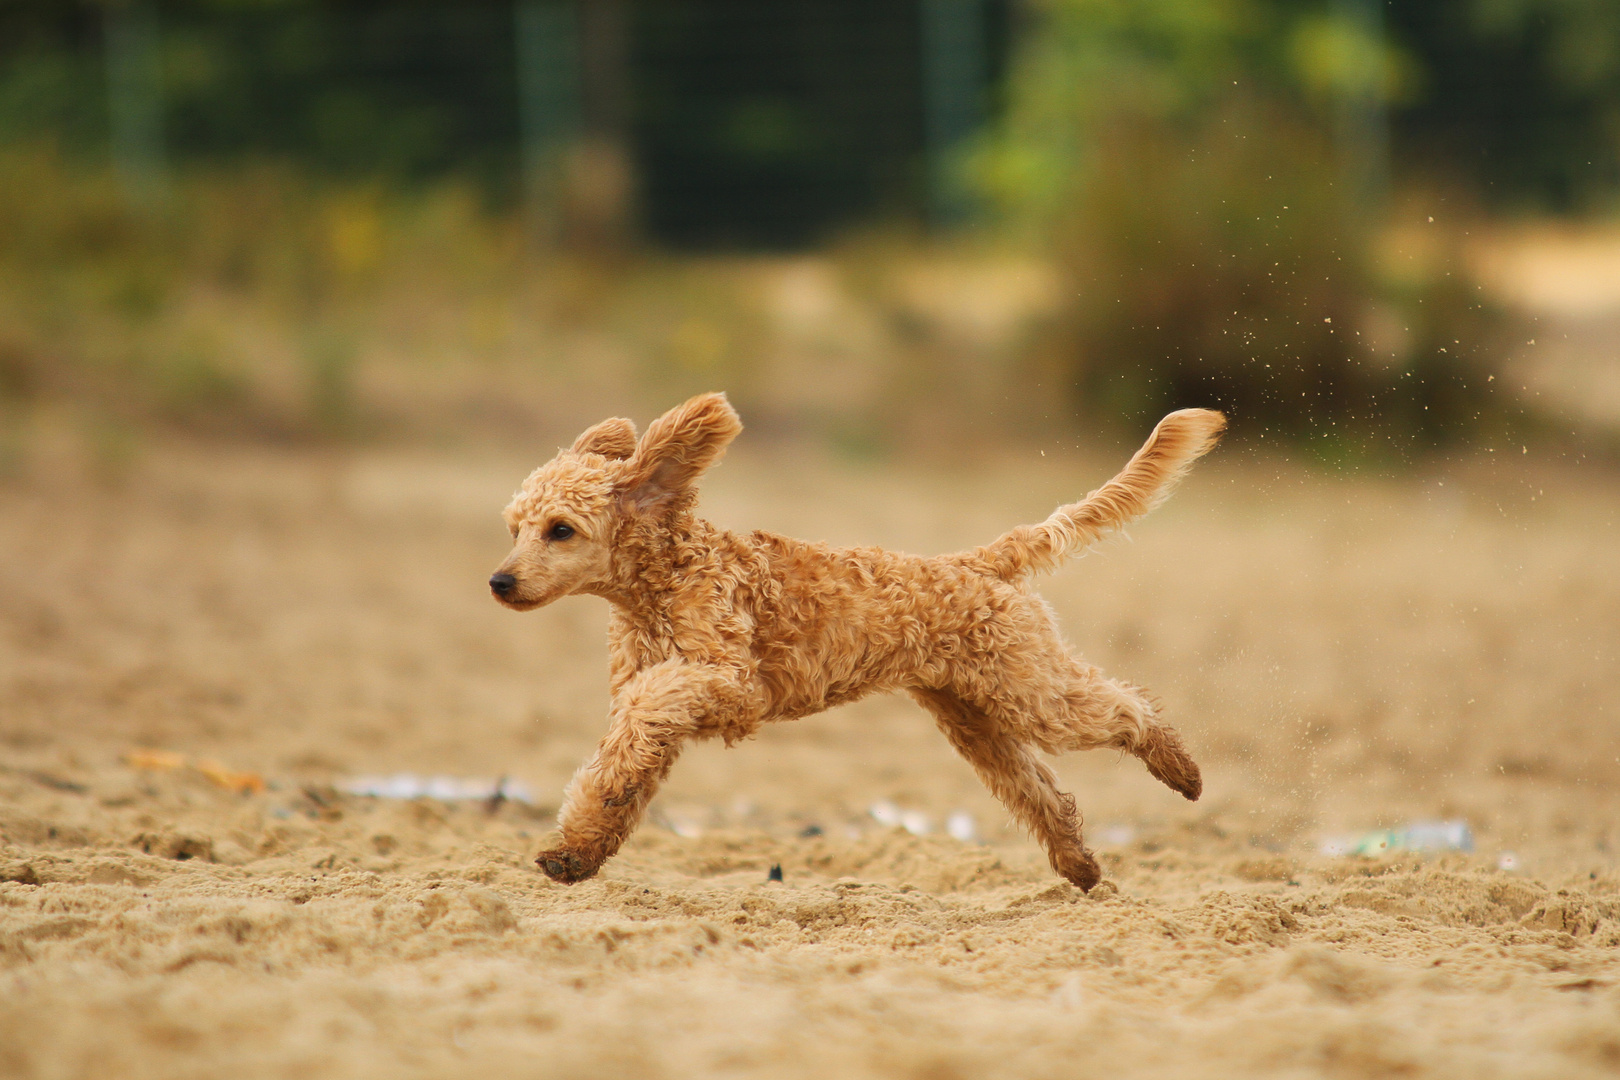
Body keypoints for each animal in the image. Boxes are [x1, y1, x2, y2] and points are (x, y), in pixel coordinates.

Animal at [486, 393, 1218, 893]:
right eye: (516, 527)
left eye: (560, 529)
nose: (499, 581)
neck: (667, 581)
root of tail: (978, 561)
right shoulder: (669, 711)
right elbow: (619, 773)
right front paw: (574, 853)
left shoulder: (731, 685)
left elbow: (645, 708)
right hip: (976, 721)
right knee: (1045, 794)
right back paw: (1082, 868)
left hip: (1032, 693)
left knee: (1128, 708)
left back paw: (1181, 770)